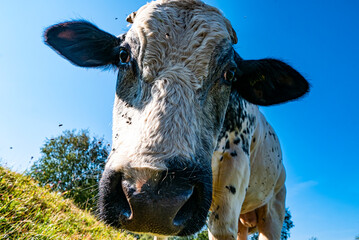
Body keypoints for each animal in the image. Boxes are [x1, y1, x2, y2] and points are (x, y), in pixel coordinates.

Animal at [45, 0, 310, 240]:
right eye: (123, 55)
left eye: (230, 73)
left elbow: (221, 229)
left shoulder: (234, 167)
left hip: (274, 208)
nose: (154, 197)